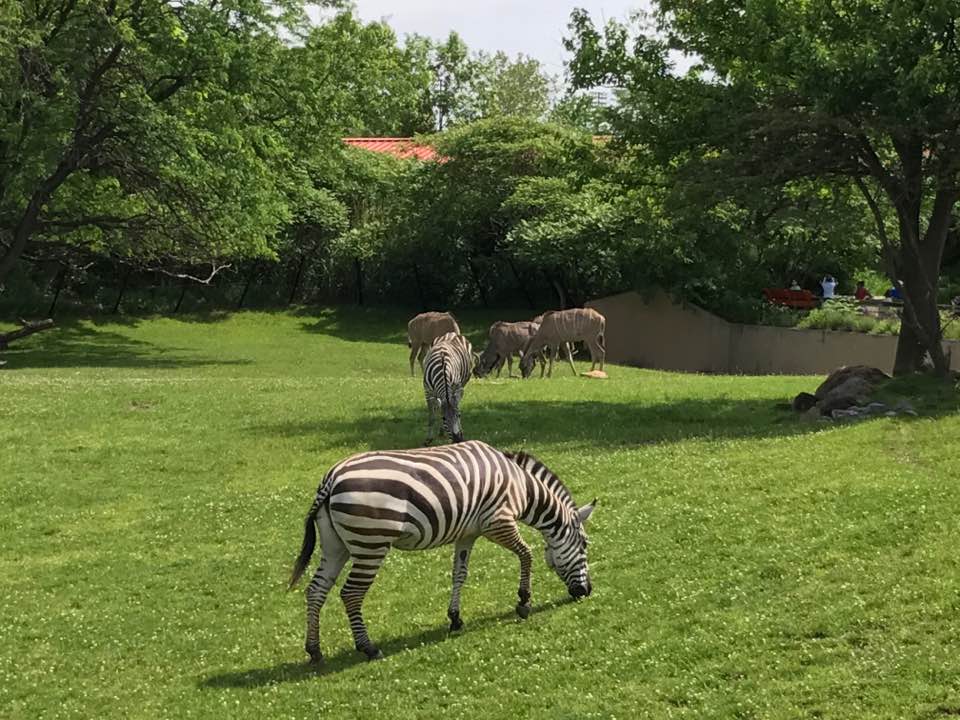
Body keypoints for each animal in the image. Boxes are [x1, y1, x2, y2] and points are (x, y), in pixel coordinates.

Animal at [288, 440, 596, 663]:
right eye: (584, 544)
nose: (587, 591)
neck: (521, 485)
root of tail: (331, 477)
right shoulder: (498, 522)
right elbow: (527, 554)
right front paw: (523, 601)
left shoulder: (467, 534)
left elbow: (459, 574)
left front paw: (455, 618)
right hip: (370, 543)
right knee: (351, 594)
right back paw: (368, 647)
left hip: (335, 546)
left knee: (316, 590)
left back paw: (314, 650)